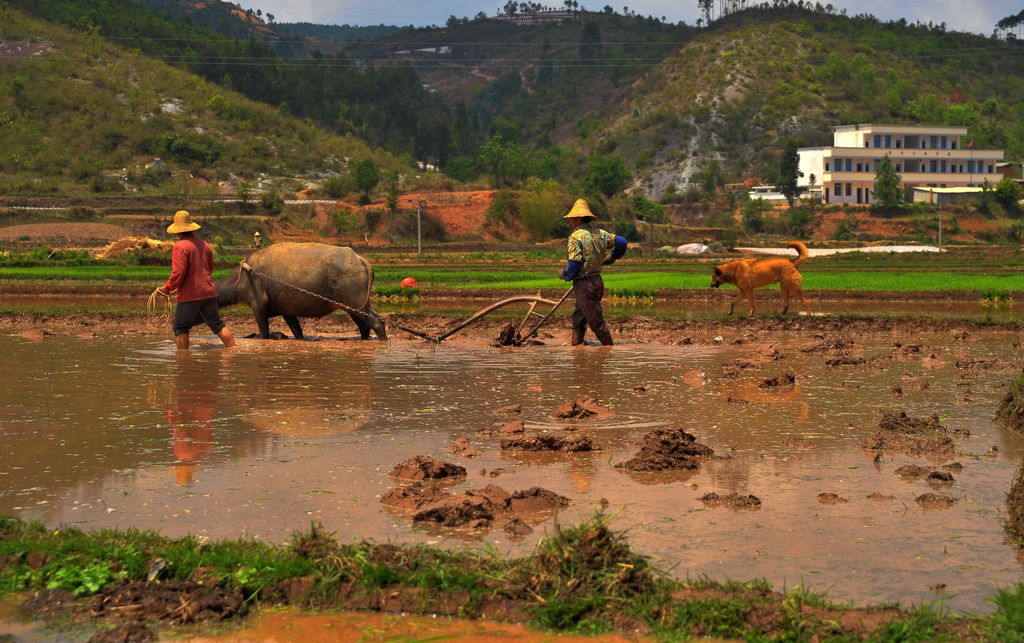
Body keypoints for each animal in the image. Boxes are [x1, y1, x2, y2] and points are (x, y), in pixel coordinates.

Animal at [216, 242, 387, 341]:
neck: (241, 278)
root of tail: (360, 259)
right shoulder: (286, 311)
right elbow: (297, 331)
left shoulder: (258, 307)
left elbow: (264, 333)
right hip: (354, 306)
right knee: (365, 326)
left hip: (355, 303)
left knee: (377, 322)